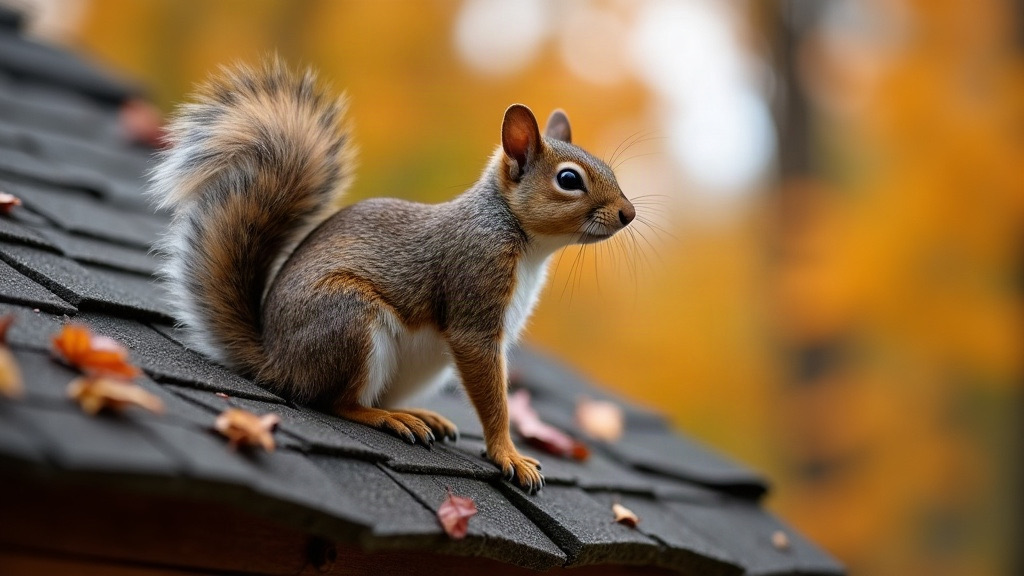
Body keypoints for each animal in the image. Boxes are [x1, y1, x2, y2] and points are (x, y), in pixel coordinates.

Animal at [150, 58, 635, 493]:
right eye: (569, 180)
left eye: (610, 170)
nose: (628, 214)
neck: (524, 241)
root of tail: (275, 361)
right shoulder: (474, 288)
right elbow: (490, 392)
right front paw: (508, 455)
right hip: (349, 320)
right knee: (337, 401)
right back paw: (385, 417)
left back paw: (421, 415)